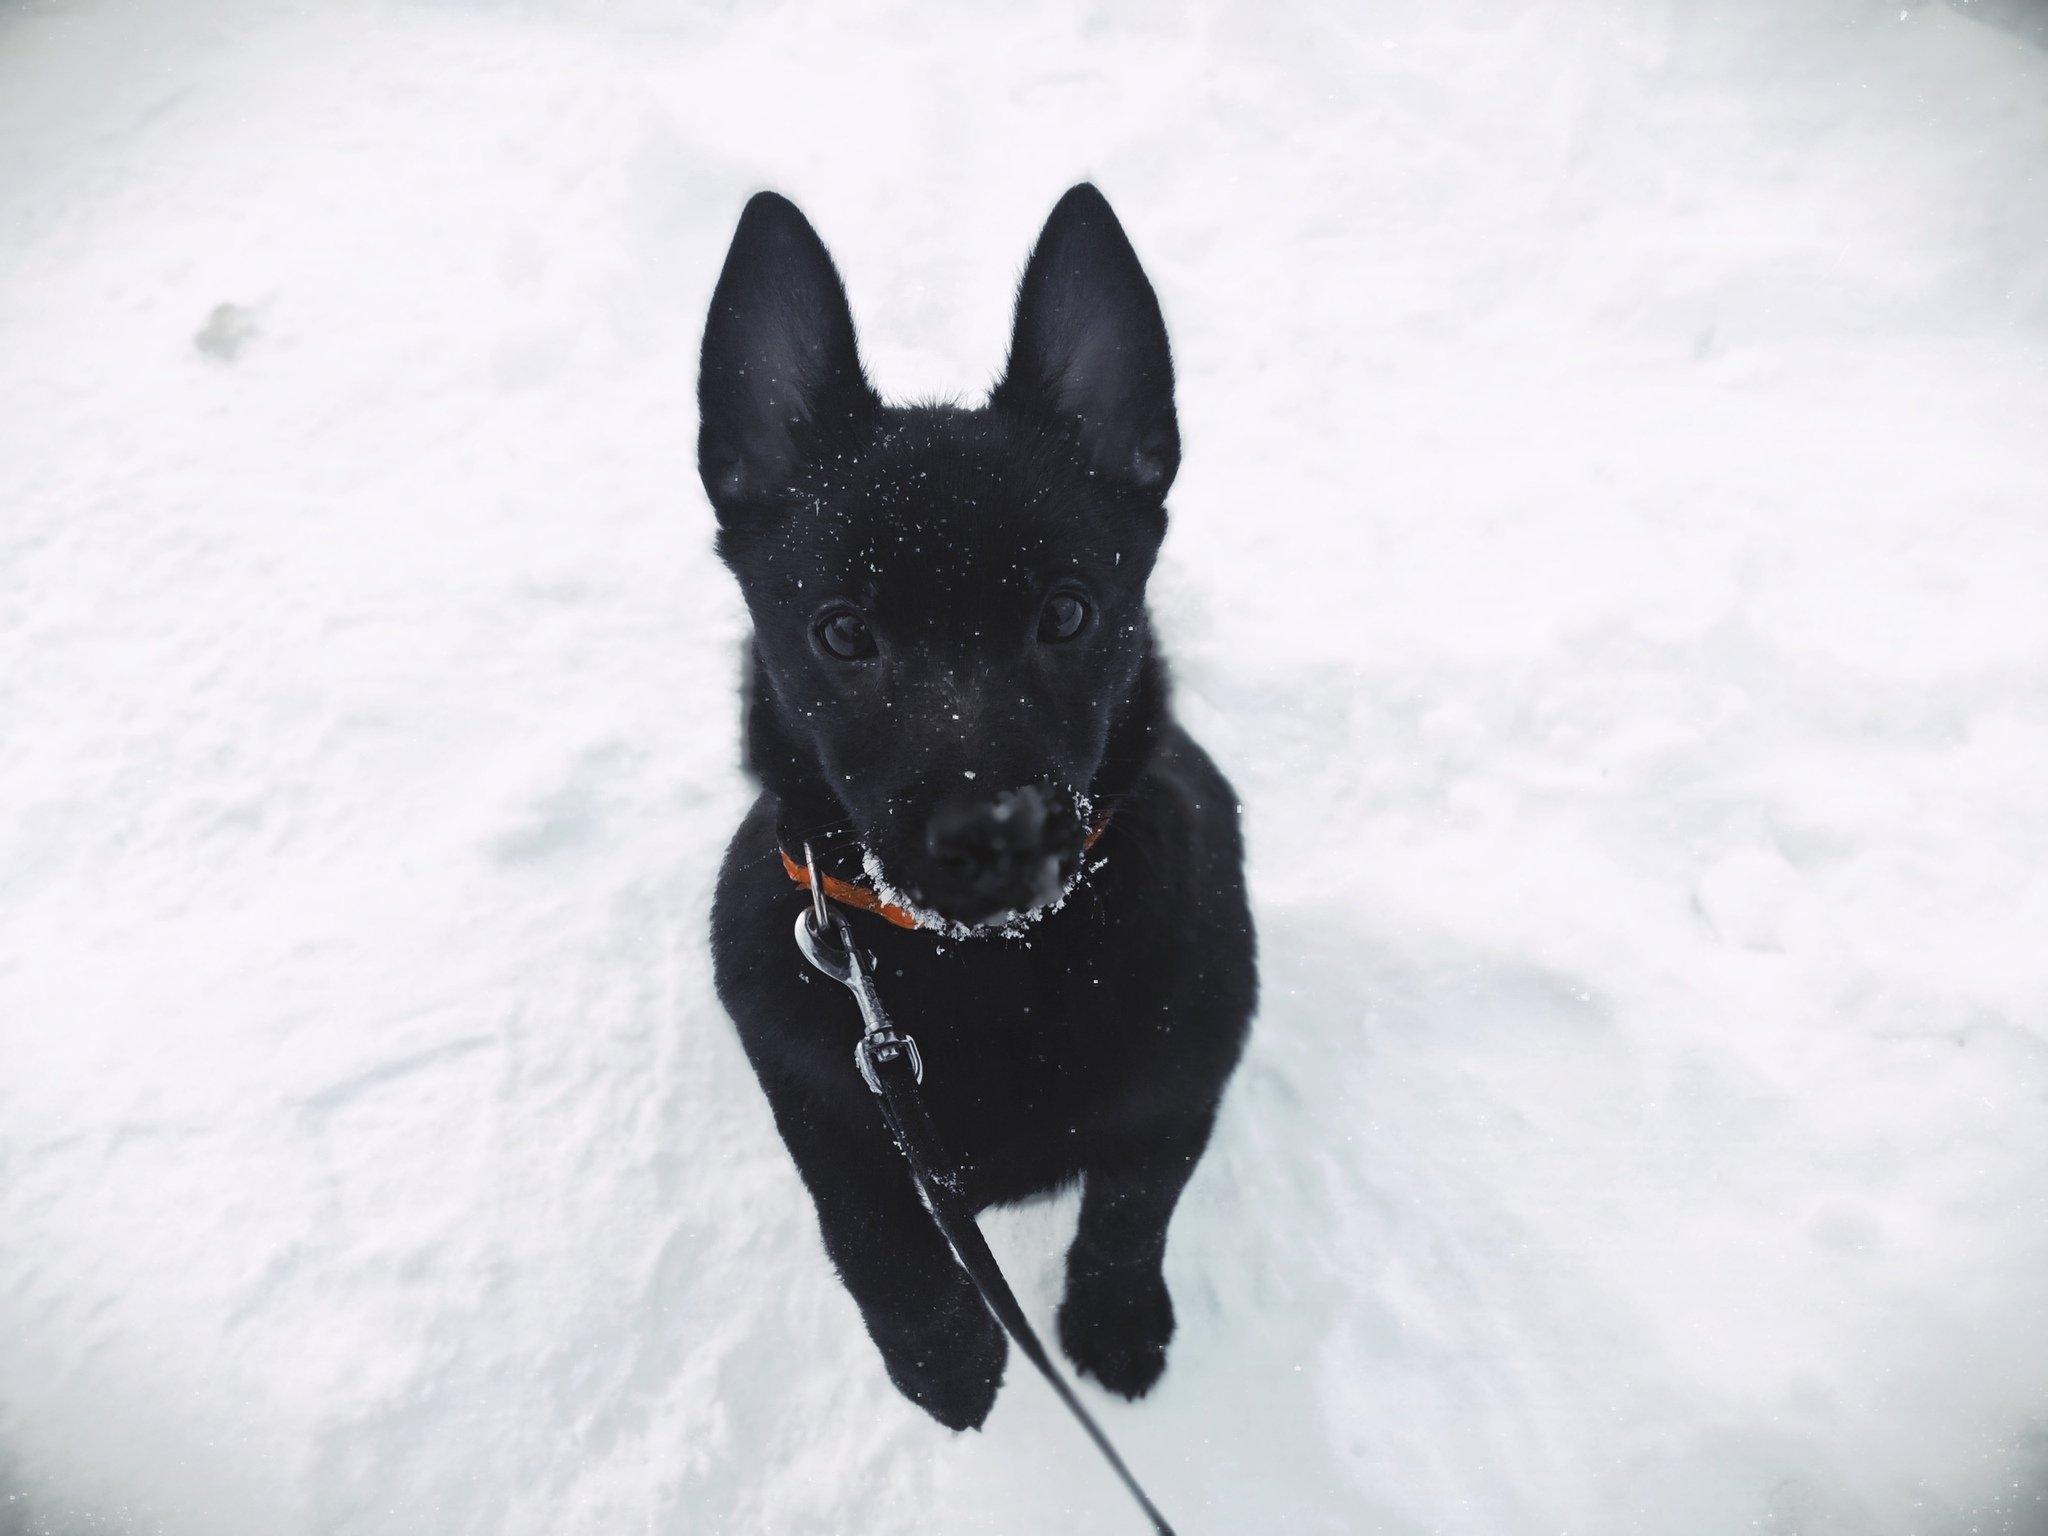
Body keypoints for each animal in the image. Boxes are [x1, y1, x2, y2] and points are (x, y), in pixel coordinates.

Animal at [700, 189, 1245, 1433]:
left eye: (1068, 612)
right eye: (842, 633)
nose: (990, 837)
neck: (984, 969)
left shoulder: (1188, 1077)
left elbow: (1129, 1209)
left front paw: (1113, 1323)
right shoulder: (824, 1107)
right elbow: (877, 1244)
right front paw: (946, 1363)